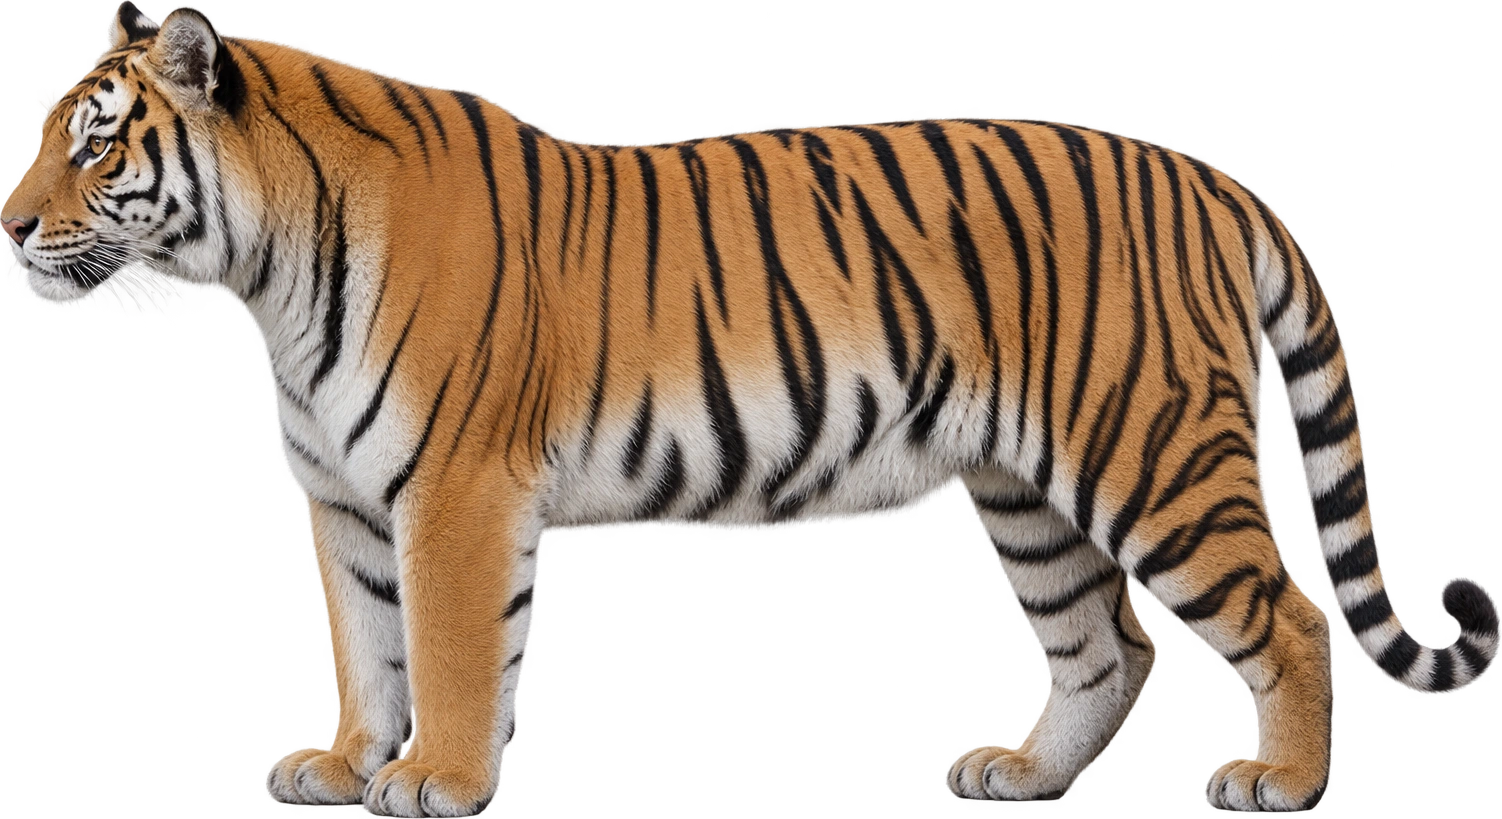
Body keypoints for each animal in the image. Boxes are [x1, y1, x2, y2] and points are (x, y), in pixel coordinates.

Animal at [4, 4, 1496, 817]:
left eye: (95, 142)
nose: (11, 228)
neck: (265, 276)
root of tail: (1199, 172)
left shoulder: (453, 491)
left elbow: (448, 647)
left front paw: (435, 774)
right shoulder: (345, 499)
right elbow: (363, 641)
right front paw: (344, 758)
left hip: (1150, 451)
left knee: (1282, 614)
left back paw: (1278, 780)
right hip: (1026, 491)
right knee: (1103, 648)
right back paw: (1018, 768)